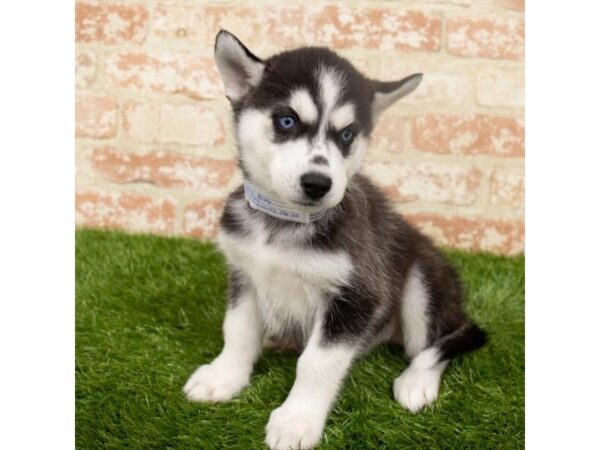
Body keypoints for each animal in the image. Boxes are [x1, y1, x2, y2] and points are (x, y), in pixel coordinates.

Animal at [183, 29, 488, 448]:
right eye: (286, 120)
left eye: (346, 135)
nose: (318, 183)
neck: (283, 223)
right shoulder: (244, 274)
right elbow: (238, 331)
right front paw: (223, 376)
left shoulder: (358, 295)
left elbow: (316, 362)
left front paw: (297, 420)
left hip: (422, 280)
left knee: (437, 344)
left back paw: (417, 382)